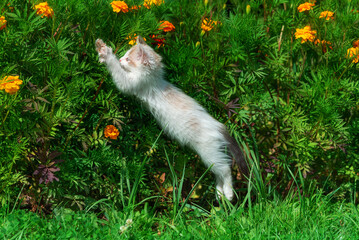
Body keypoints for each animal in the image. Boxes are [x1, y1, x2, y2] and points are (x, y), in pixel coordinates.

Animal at [95, 36, 250, 201]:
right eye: (125, 55)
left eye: (128, 59)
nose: (121, 59)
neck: (154, 80)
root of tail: (218, 125)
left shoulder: (132, 83)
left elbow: (119, 75)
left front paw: (107, 54)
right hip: (213, 153)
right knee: (218, 171)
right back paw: (220, 192)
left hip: (208, 151)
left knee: (225, 169)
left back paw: (228, 193)